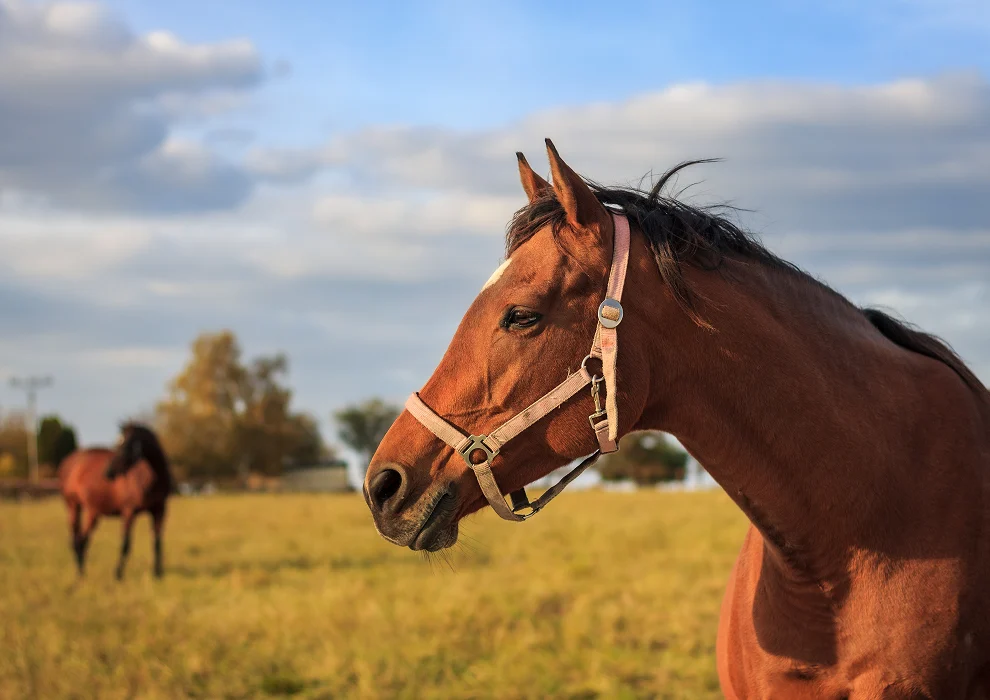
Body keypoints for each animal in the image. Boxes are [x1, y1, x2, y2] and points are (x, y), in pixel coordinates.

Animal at [59, 422, 175, 580]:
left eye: (125, 446)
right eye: (117, 444)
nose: (108, 472)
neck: (149, 478)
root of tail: (69, 461)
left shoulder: (159, 510)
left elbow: (157, 542)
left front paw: (157, 574)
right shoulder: (129, 511)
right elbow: (125, 544)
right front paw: (118, 574)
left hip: (92, 512)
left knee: (83, 540)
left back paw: (82, 573)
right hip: (73, 506)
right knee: (75, 540)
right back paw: (79, 575)